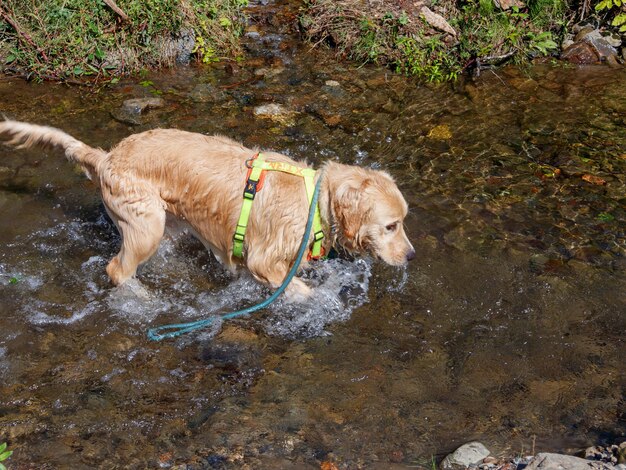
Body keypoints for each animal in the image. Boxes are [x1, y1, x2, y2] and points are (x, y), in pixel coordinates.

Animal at [0, 121, 414, 298]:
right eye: (391, 226)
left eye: (402, 222)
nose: (411, 255)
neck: (316, 201)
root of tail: (106, 157)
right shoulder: (264, 259)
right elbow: (301, 292)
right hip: (146, 223)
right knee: (117, 270)